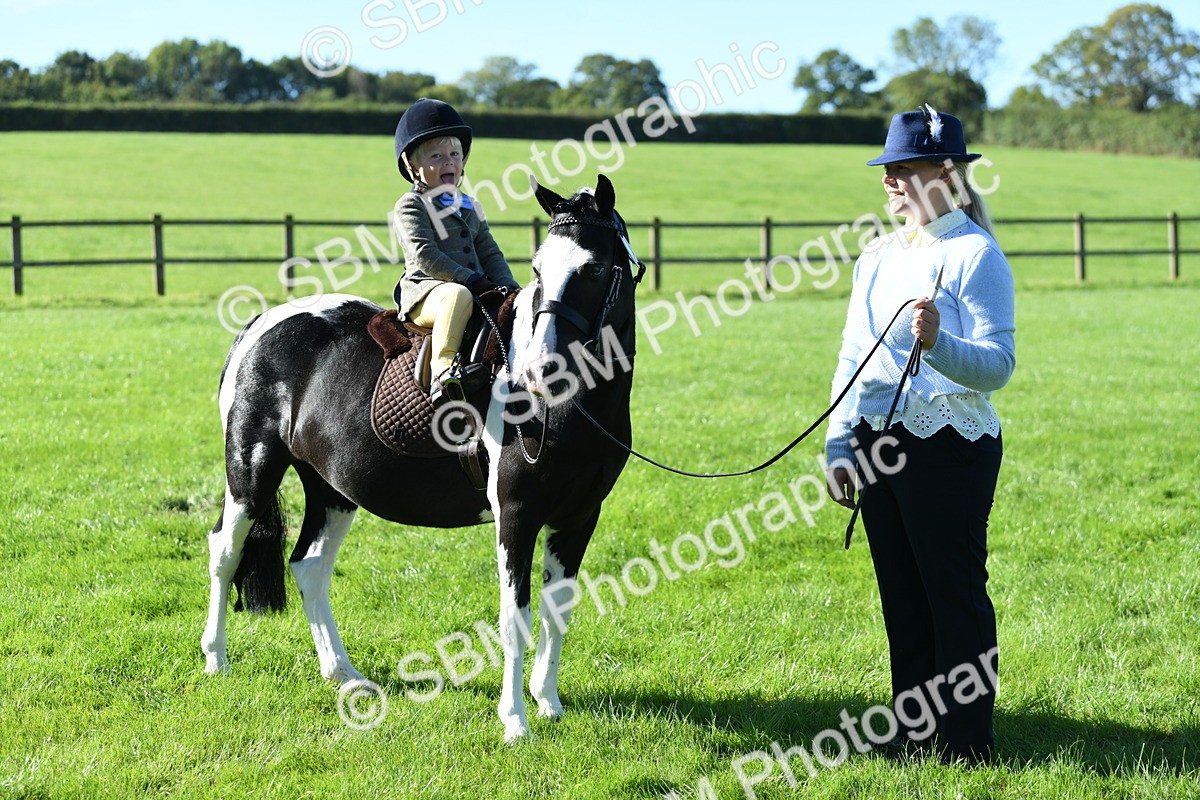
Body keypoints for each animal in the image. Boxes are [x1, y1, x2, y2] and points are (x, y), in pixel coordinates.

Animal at [201, 174, 640, 742]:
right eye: (540, 269)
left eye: (593, 268)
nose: (539, 368)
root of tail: (262, 323)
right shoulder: (517, 516)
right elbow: (514, 616)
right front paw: (515, 721)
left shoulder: (580, 515)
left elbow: (556, 609)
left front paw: (548, 702)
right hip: (251, 471)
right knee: (225, 552)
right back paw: (217, 660)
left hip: (331, 489)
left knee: (309, 567)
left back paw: (344, 675)